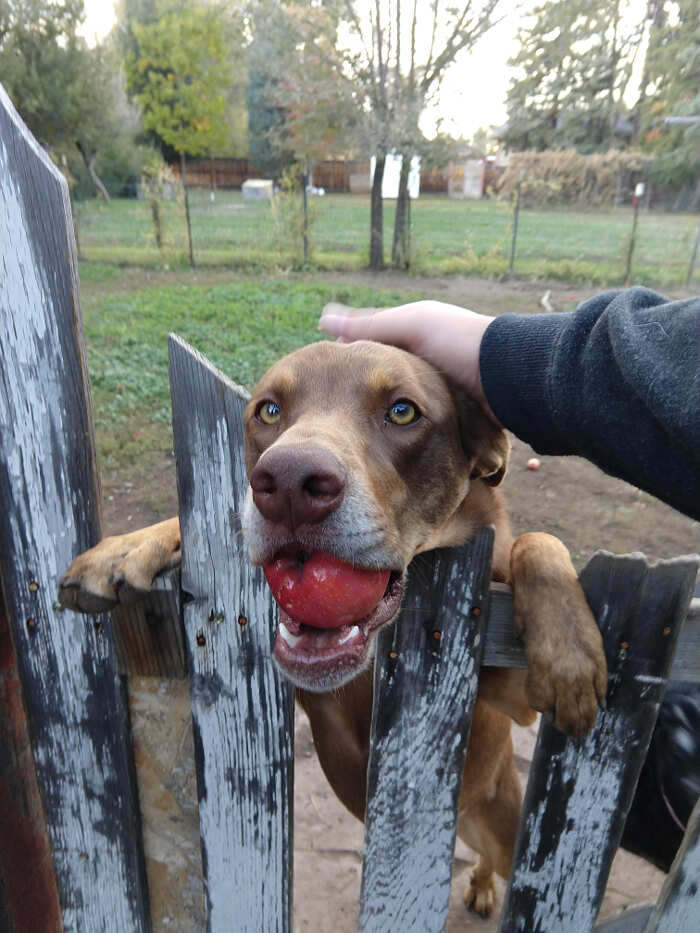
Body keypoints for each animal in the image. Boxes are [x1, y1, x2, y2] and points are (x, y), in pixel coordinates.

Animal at [61, 340, 608, 916]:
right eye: (269, 410)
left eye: (402, 411)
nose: (288, 485)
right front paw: (125, 548)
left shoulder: (513, 695)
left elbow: (537, 541)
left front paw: (570, 652)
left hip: (503, 827)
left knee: (492, 857)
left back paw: (481, 884)